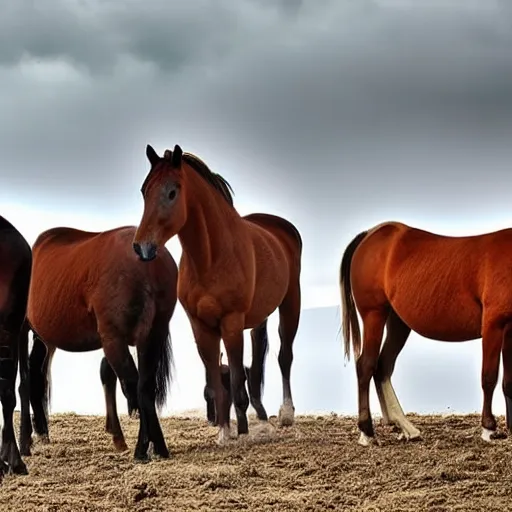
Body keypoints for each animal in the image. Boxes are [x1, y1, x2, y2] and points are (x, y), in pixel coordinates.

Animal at [19, 226, 178, 462]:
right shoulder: (113, 339)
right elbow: (133, 386)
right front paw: (142, 447)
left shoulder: (152, 337)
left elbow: (144, 387)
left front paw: (155, 445)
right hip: (24, 330)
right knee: (25, 380)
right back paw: (25, 441)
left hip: (44, 338)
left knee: (37, 374)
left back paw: (41, 432)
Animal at [130, 144, 304, 444]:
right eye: (144, 190)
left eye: (172, 192)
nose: (143, 247)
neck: (211, 258)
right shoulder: (200, 327)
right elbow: (214, 380)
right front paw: (223, 430)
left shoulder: (231, 322)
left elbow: (234, 378)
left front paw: (241, 431)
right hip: (258, 316)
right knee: (257, 356)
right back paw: (259, 413)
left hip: (291, 302)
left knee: (284, 355)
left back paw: (285, 413)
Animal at [338, 222, 512, 446]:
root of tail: (371, 234)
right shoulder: (493, 325)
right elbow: (489, 377)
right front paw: (488, 428)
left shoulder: (510, 330)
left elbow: (509, 382)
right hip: (374, 315)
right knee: (366, 366)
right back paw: (367, 432)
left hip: (398, 323)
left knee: (383, 367)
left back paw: (405, 426)